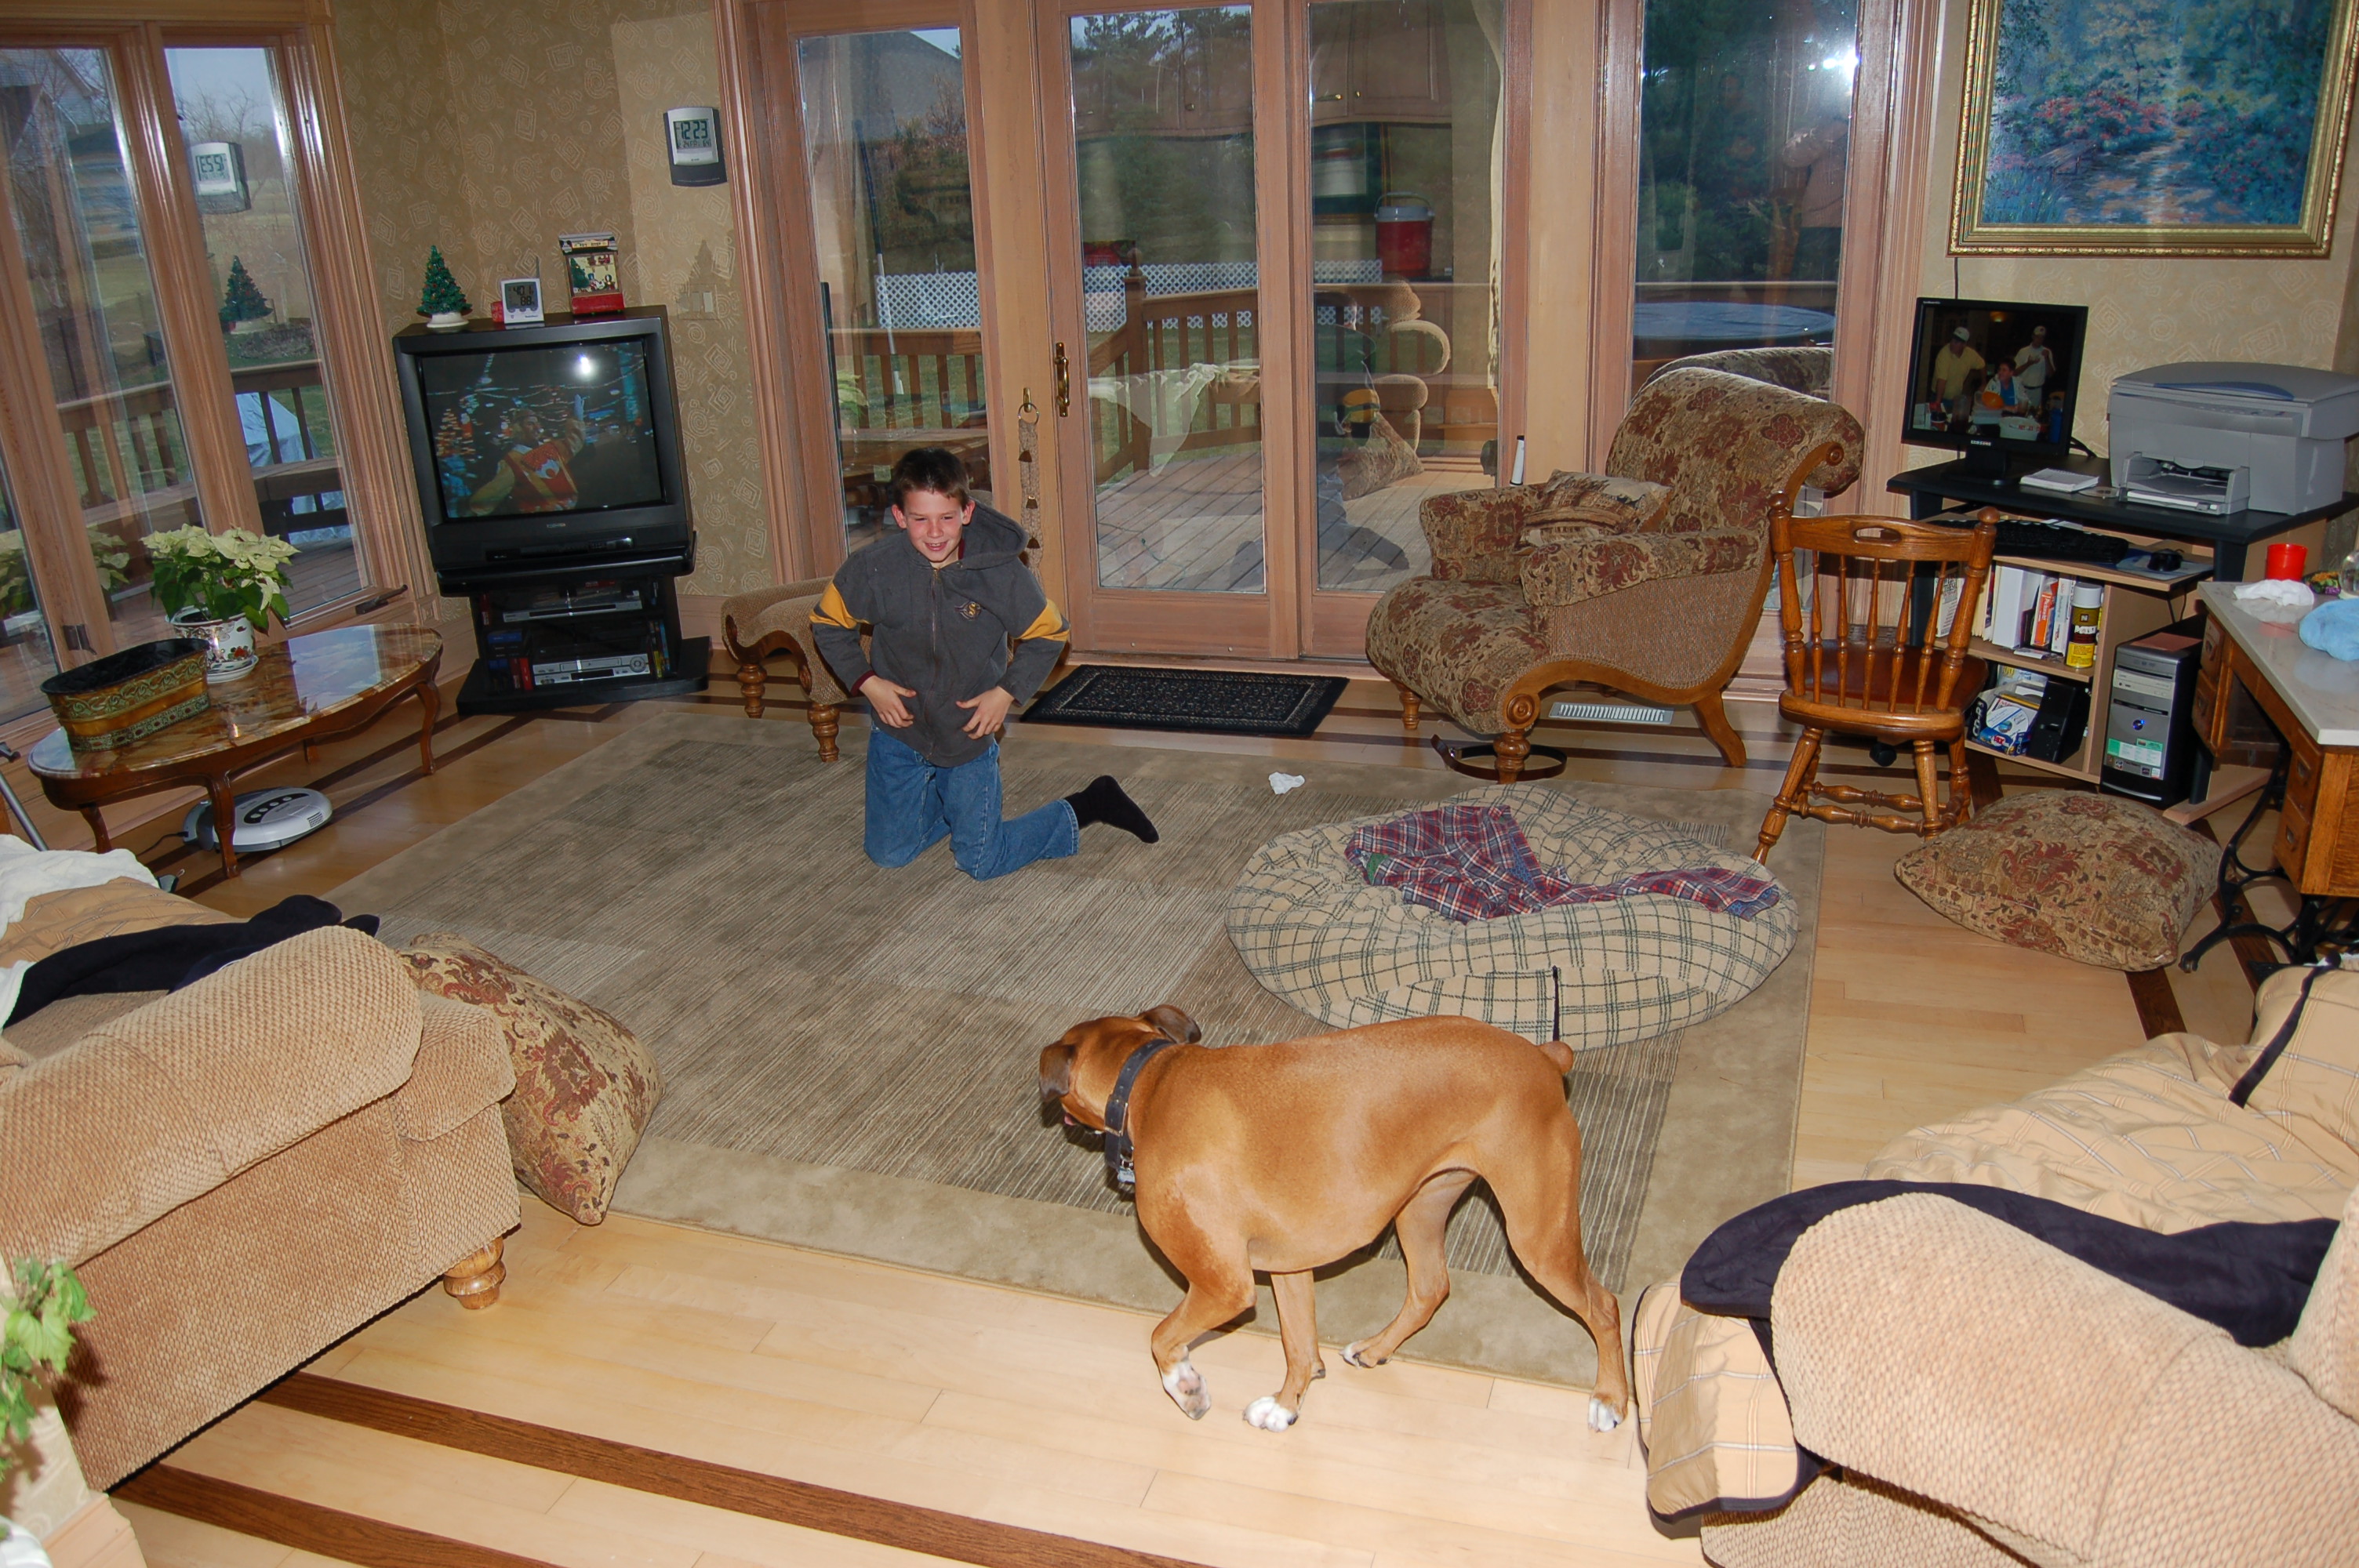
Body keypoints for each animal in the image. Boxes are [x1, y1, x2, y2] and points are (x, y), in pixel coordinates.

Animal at [1039, 1005, 1627, 1434]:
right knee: (1430, 1289)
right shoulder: (1288, 1268)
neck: (1150, 1085)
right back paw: (1375, 1349)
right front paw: (1286, 1406)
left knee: (1603, 1307)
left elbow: (1162, 1337)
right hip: (1421, 1208)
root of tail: (1543, 1056)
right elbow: (1299, 1346)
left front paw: (1187, 1387)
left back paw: (1610, 1401)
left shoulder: (1222, 1287)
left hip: (1536, 1236)